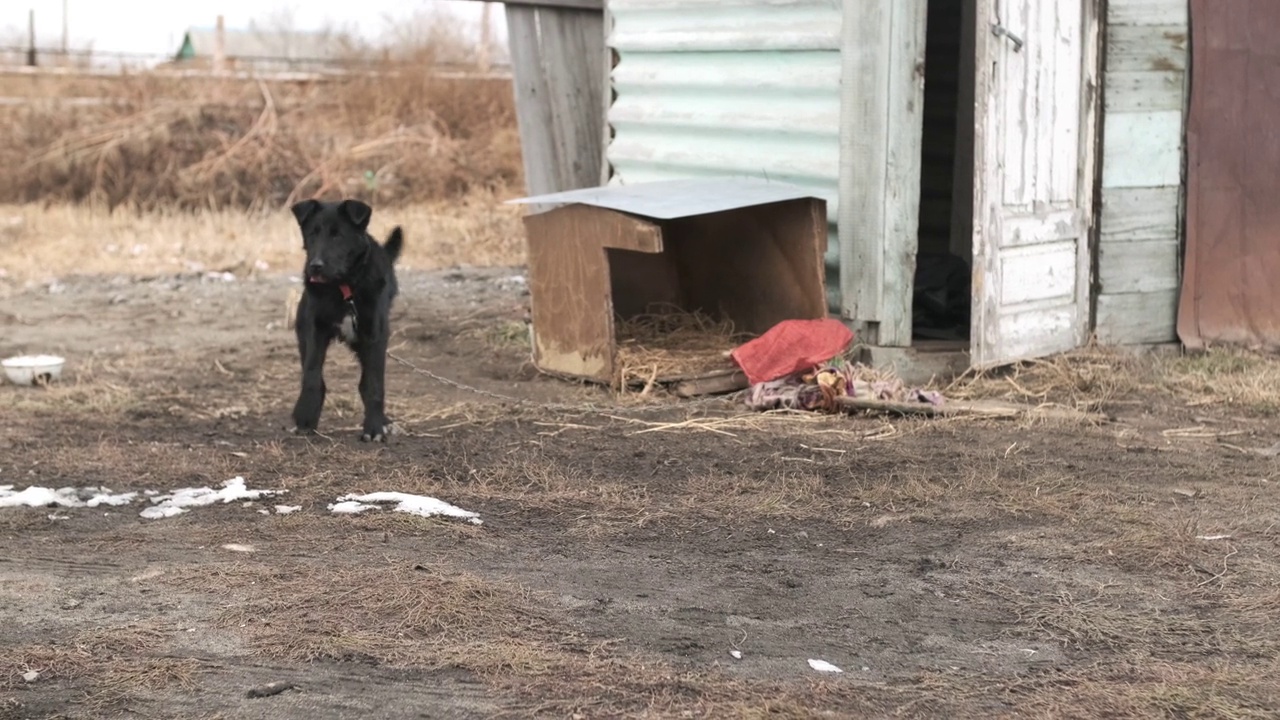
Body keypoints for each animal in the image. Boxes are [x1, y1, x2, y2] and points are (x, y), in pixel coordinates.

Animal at [290, 198, 404, 440]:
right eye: (312, 233)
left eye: (338, 235)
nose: (315, 266)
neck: (343, 288)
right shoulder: (315, 330)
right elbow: (312, 375)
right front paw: (305, 414)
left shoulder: (374, 337)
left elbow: (373, 385)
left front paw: (374, 428)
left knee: (366, 382)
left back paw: (383, 421)